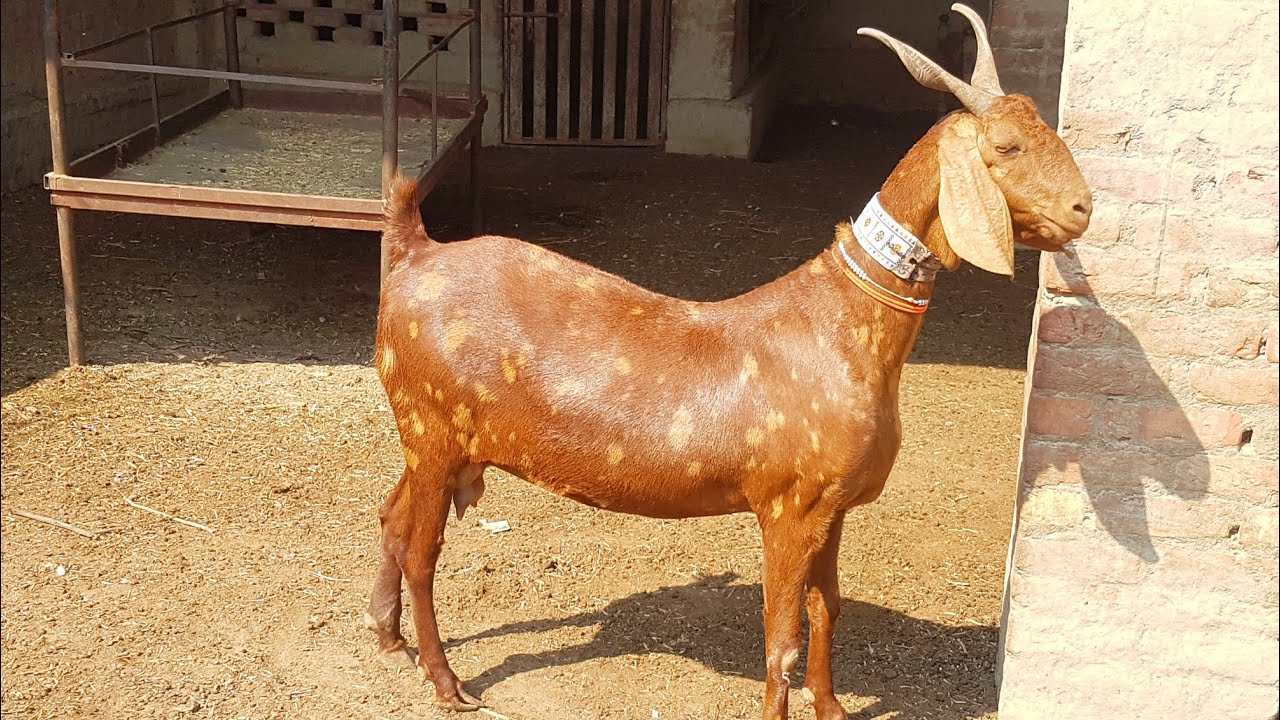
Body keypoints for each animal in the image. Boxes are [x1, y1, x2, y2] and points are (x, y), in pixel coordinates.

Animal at [363, 5, 1092, 719]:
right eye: (1007, 146)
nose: (1083, 207)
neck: (843, 327)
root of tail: (415, 250)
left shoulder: (833, 506)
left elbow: (828, 609)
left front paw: (833, 707)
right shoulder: (790, 506)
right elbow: (780, 642)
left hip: (434, 441)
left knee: (392, 518)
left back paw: (388, 637)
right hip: (431, 429)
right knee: (423, 553)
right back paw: (445, 680)